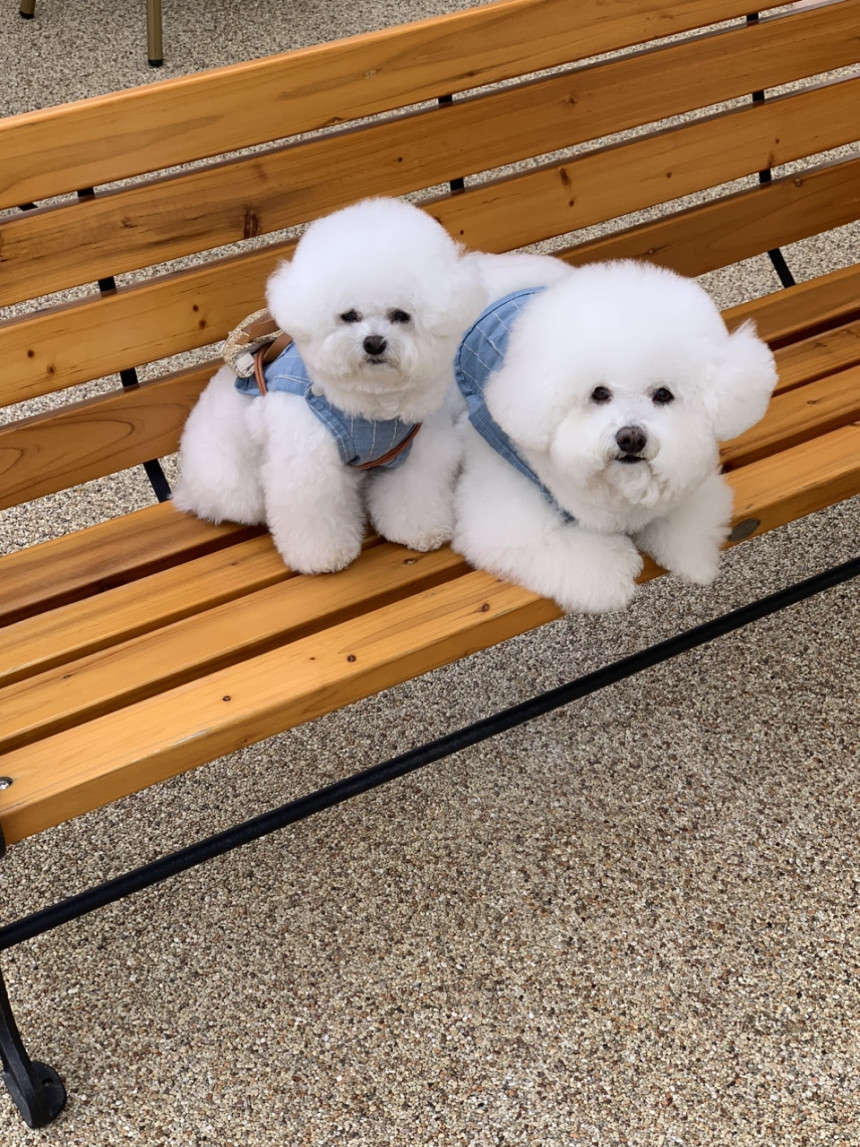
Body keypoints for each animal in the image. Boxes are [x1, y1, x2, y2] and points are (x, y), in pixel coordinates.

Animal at [174, 197, 486, 573]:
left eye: (401, 315)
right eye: (349, 315)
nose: (374, 343)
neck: (370, 407)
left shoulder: (417, 452)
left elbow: (412, 492)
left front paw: (421, 529)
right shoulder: (309, 465)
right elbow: (314, 510)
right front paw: (324, 556)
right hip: (233, 485)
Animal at [451, 259, 778, 613]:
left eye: (662, 394)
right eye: (599, 393)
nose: (631, 437)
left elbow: (685, 514)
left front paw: (692, 556)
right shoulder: (505, 516)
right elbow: (552, 544)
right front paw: (613, 574)